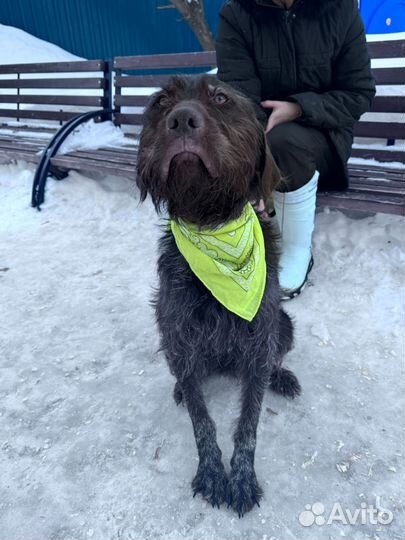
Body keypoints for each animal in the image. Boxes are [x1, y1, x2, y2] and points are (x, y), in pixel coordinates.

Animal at [136, 74, 300, 516]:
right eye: (162, 102)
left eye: (222, 98)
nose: (181, 119)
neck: (212, 227)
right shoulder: (177, 333)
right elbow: (201, 419)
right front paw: (212, 471)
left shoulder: (260, 335)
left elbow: (249, 423)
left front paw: (241, 477)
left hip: (285, 324)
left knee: (276, 356)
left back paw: (281, 376)